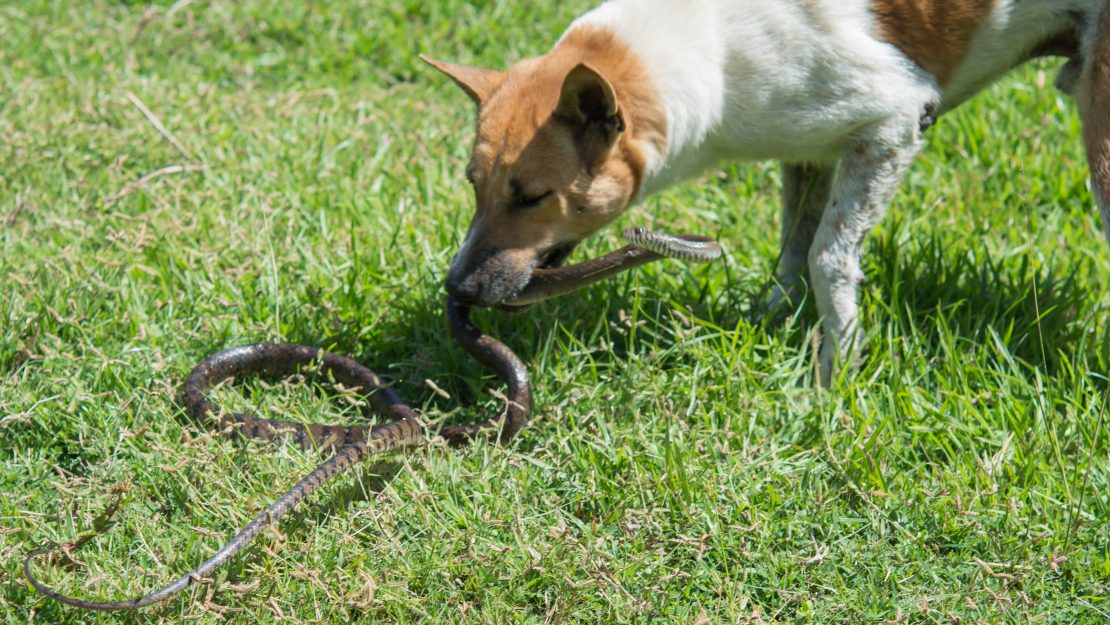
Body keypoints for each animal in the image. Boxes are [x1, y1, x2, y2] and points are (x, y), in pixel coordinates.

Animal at [424, 0, 1110, 384]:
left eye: (531, 197)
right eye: (473, 186)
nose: (458, 290)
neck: (708, 52)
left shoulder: (893, 120)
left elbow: (828, 257)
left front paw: (834, 380)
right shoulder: (808, 150)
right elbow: (790, 252)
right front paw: (768, 323)